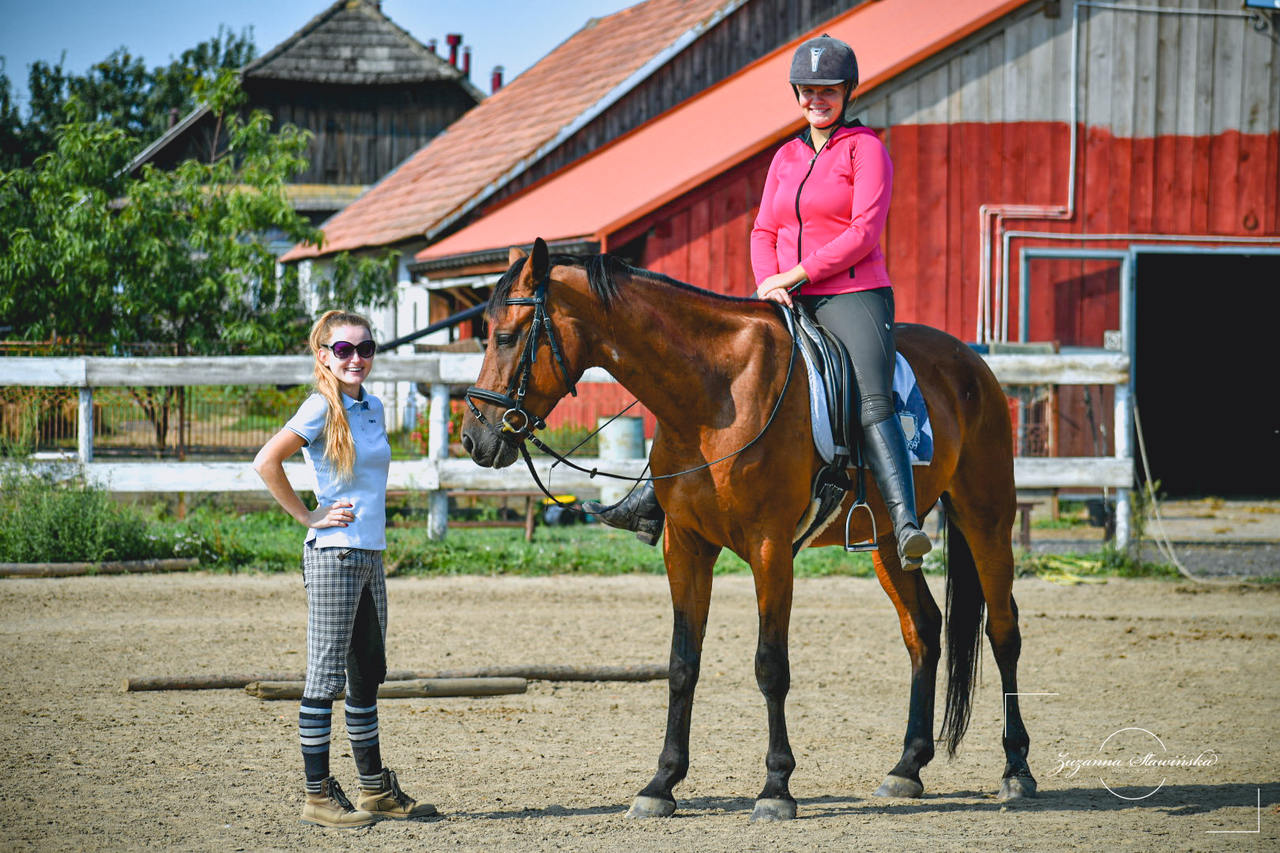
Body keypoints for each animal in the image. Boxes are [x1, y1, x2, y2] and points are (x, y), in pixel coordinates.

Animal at [465, 236, 1034, 819]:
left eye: (507, 337)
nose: (474, 439)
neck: (714, 393)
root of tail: (973, 363)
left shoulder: (770, 549)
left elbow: (770, 666)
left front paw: (776, 787)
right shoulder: (686, 547)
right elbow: (682, 664)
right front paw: (661, 784)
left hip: (987, 519)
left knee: (1002, 630)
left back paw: (1016, 770)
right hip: (885, 543)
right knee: (922, 629)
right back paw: (907, 768)